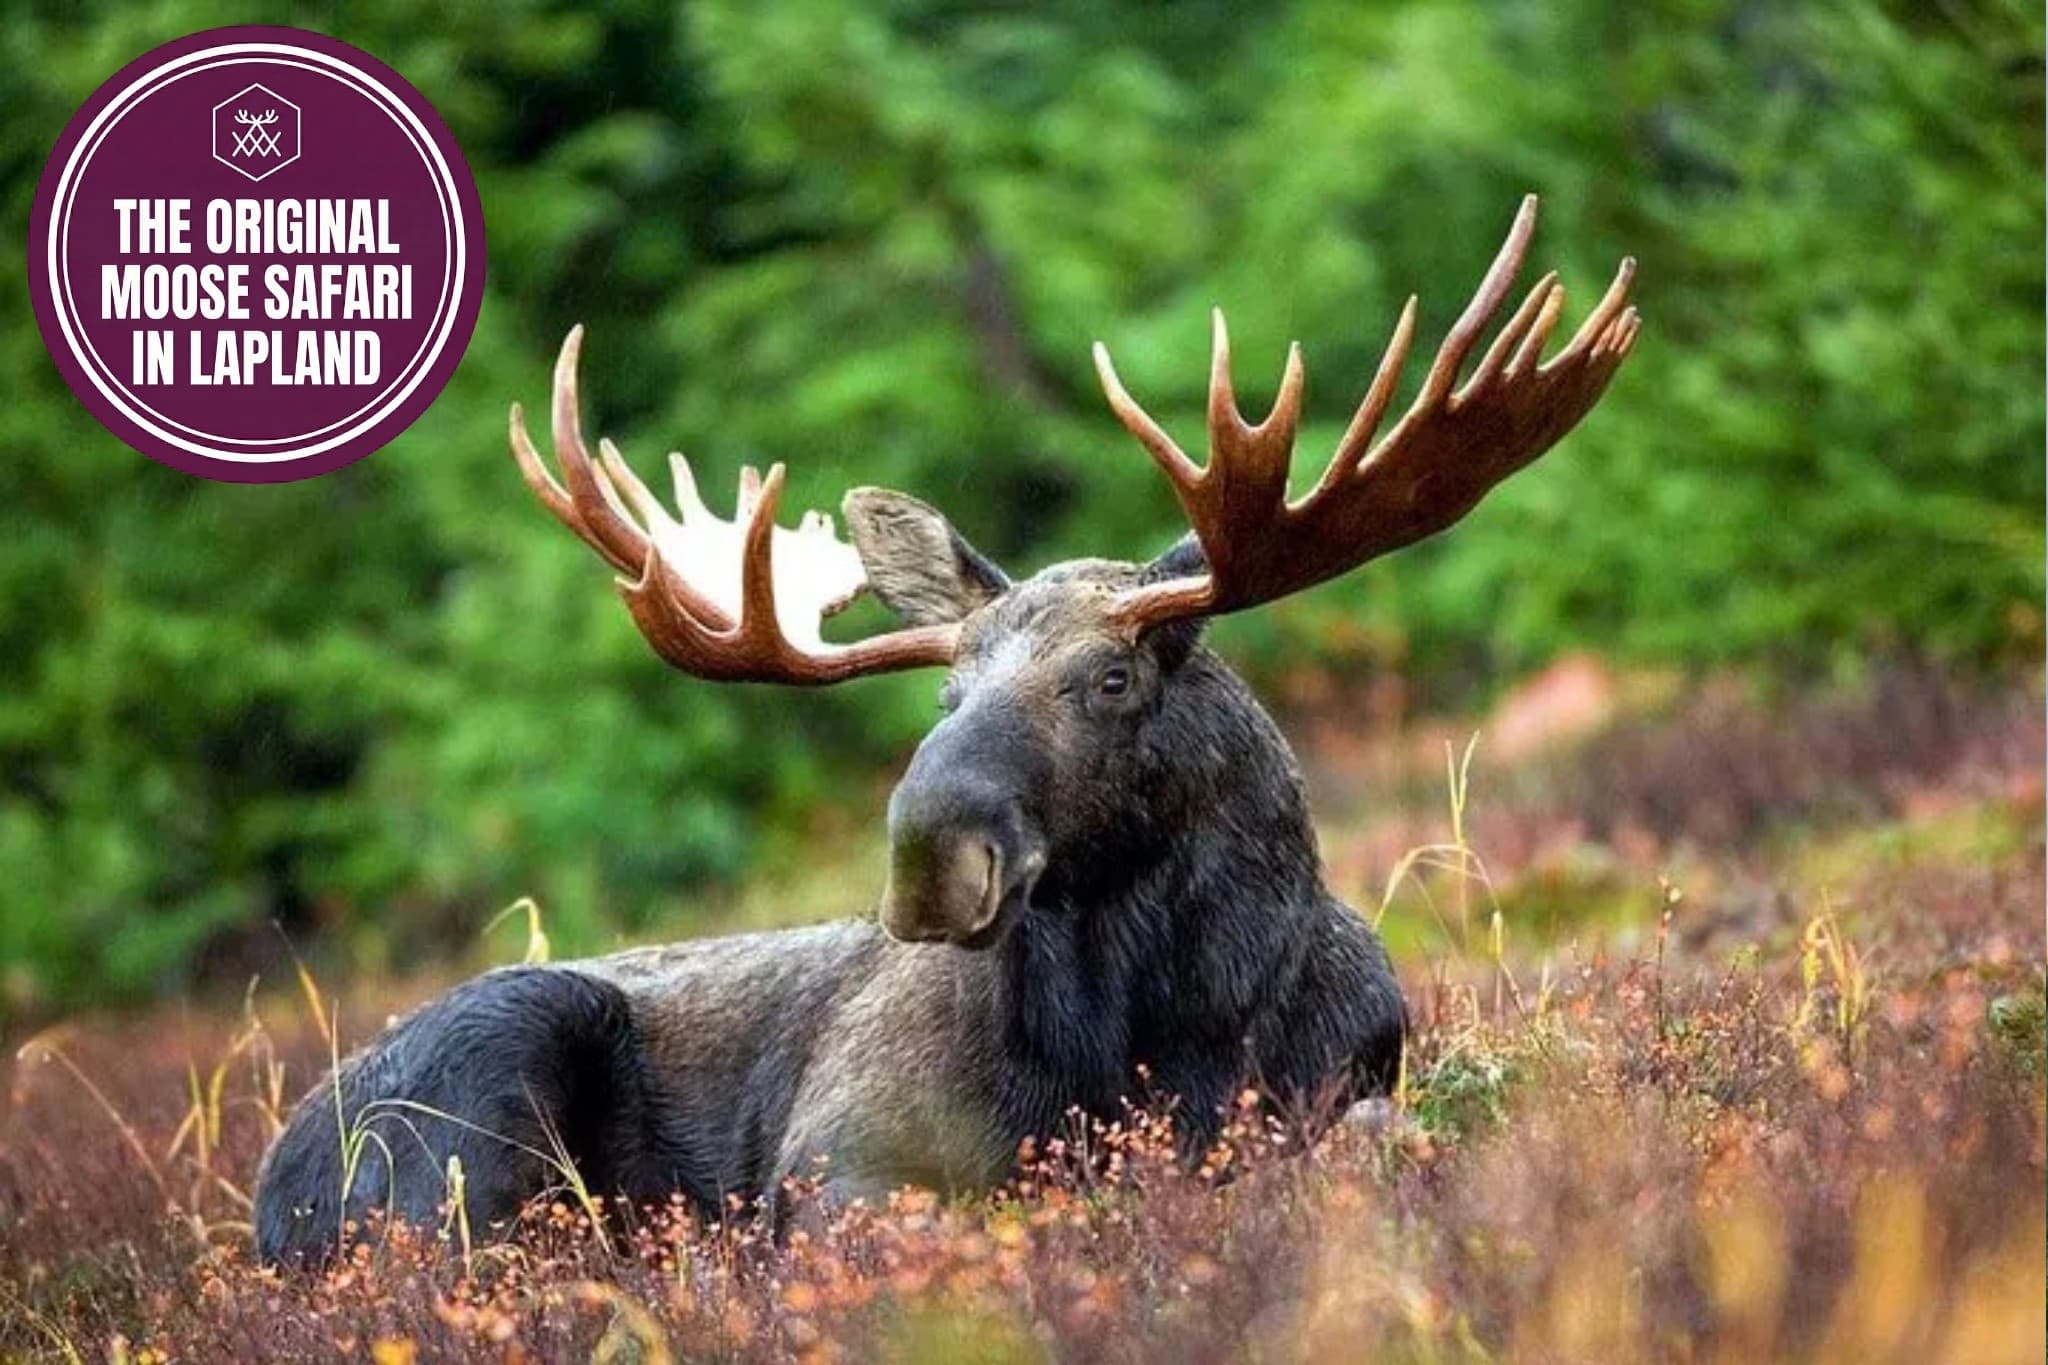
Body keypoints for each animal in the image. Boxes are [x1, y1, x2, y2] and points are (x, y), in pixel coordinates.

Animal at [254, 196, 1638, 1263]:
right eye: (944, 693)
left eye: (1111, 678)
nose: (928, 854)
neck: (1163, 1033)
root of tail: (270, 1190)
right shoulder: (839, 1159)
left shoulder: (1344, 1085)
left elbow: (1368, 1139)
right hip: (476, 1100)